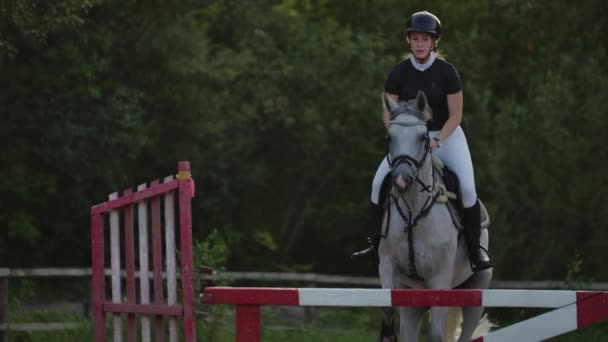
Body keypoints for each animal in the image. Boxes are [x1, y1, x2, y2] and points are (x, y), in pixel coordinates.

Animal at [380, 91, 494, 342]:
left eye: (422, 137)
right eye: (390, 138)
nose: (401, 180)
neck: (413, 211)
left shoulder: (440, 279)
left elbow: (436, 335)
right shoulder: (389, 267)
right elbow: (388, 310)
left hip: (475, 291)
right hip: (414, 300)